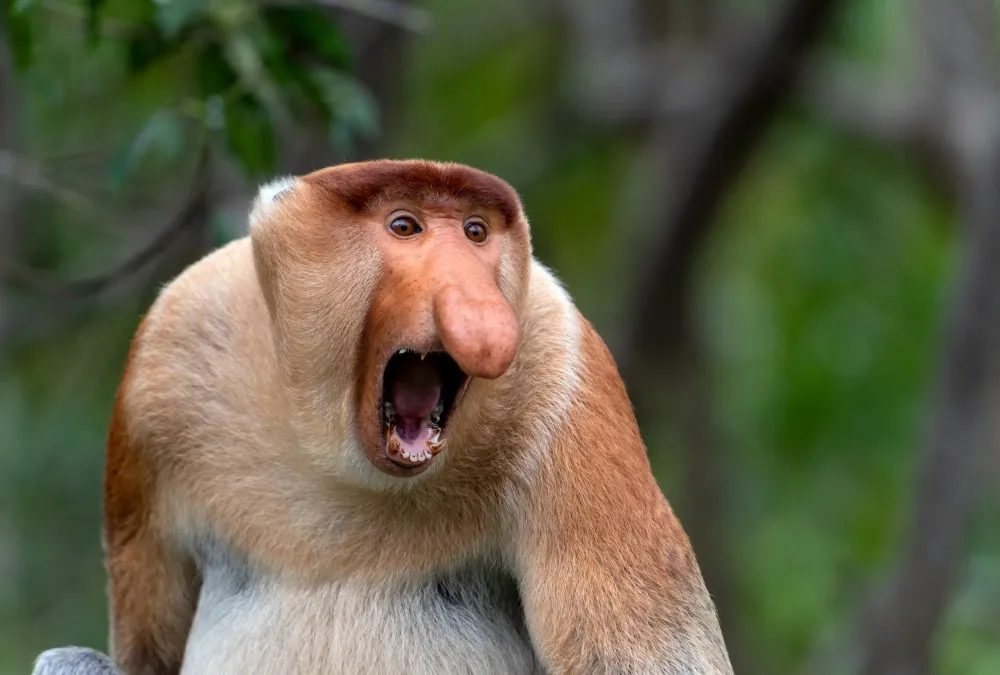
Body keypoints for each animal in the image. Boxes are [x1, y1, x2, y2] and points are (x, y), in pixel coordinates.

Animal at [30, 159, 733, 675]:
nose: (479, 308)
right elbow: (144, 654)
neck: (338, 453)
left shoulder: (564, 372)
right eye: (405, 226)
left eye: (475, 233)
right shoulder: (168, 353)